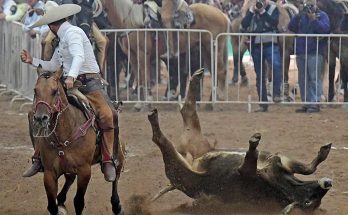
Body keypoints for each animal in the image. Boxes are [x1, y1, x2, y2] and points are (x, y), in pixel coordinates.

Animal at [29, 67, 125, 215]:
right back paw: (61, 201)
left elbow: (78, 202)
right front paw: (58, 205)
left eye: (54, 91)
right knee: (69, 179)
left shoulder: (84, 171)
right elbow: (51, 206)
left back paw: (116, 205)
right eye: (35, 90)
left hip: (118, 155)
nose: (40, 118)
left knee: (116, 174)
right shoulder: (49, 173)